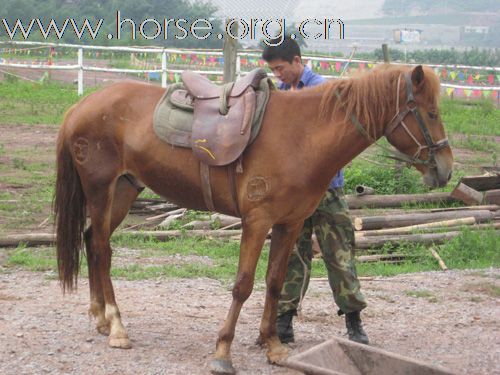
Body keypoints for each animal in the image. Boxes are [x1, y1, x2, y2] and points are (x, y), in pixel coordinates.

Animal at [54, 63, 454, 374]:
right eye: (431, 113)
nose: (446, 168)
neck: (302, 136)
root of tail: (80, 107)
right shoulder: (257, 222)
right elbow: (243, 285)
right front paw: (223, 352)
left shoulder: (289, 224)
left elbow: (275, 283)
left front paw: (273, 344)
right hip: (100, 190)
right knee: (103, 249)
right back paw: (117, 327)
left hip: (123, 191)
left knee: (92, 243)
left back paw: (101, 318)